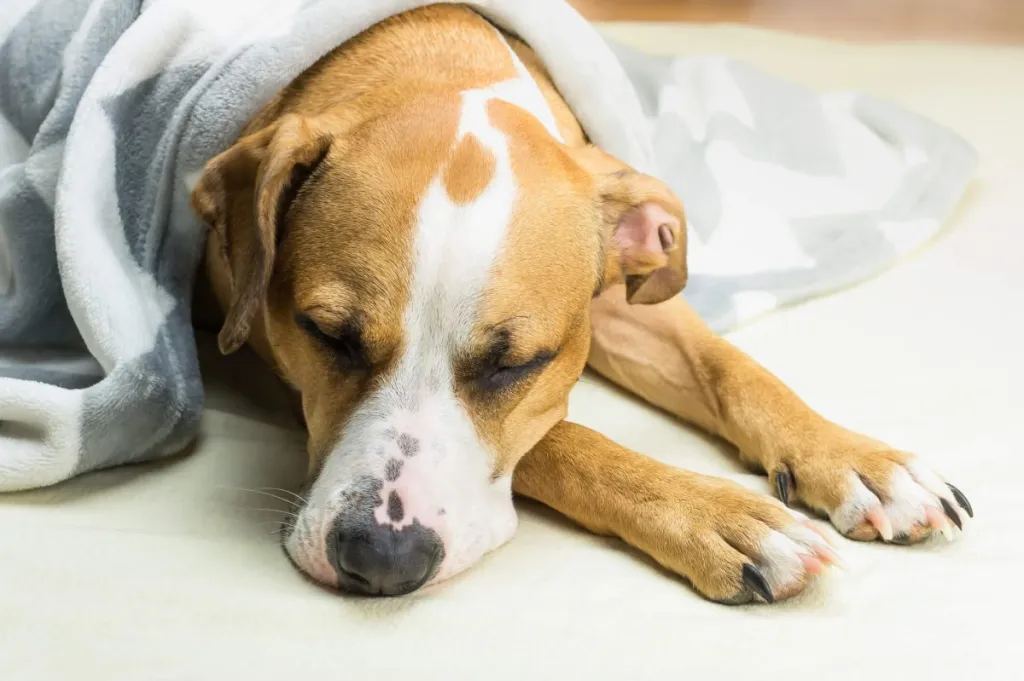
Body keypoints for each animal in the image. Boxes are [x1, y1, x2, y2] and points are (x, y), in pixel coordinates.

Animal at [188, 5, 970, 602]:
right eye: (326, 334)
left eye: (517, 364)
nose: (382, 559)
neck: (434, 58)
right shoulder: (259, 347)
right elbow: (561, 439)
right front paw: (724, 517)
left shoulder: (619, 302)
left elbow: (727, 365)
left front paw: (857, 460)